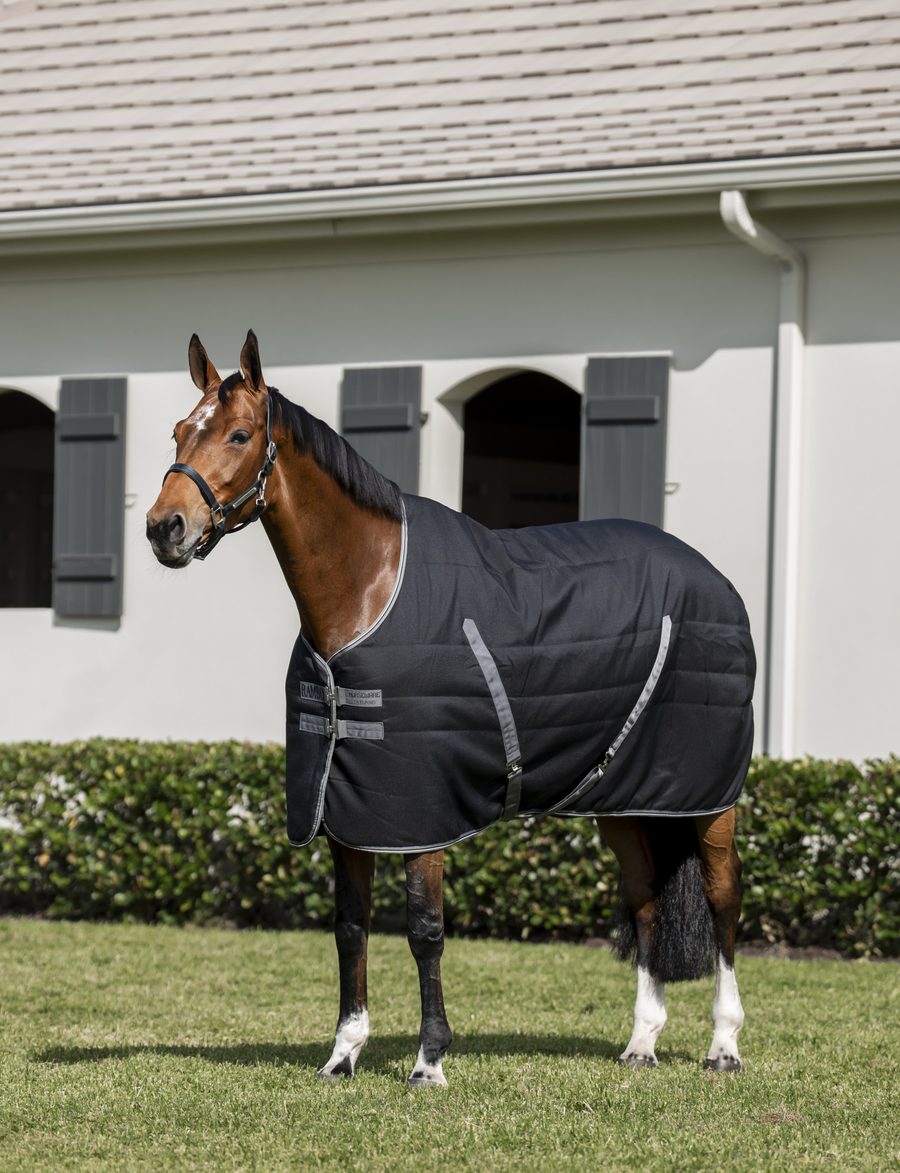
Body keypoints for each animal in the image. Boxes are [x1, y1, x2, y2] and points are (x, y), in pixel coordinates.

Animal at [147, 330, 753, 1086]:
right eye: (178, 431)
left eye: (237, 434)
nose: (164, 528)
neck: (368, 592)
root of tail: (714, 578)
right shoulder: (346, 811)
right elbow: (350, 927)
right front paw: (343, 1052)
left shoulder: (418, 812)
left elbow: (424, 930)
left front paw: (429, 1058)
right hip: (625, 797)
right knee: (644, 898)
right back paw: (642, 1040)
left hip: (709, 797)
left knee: (724, 900)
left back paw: (723, 1044)